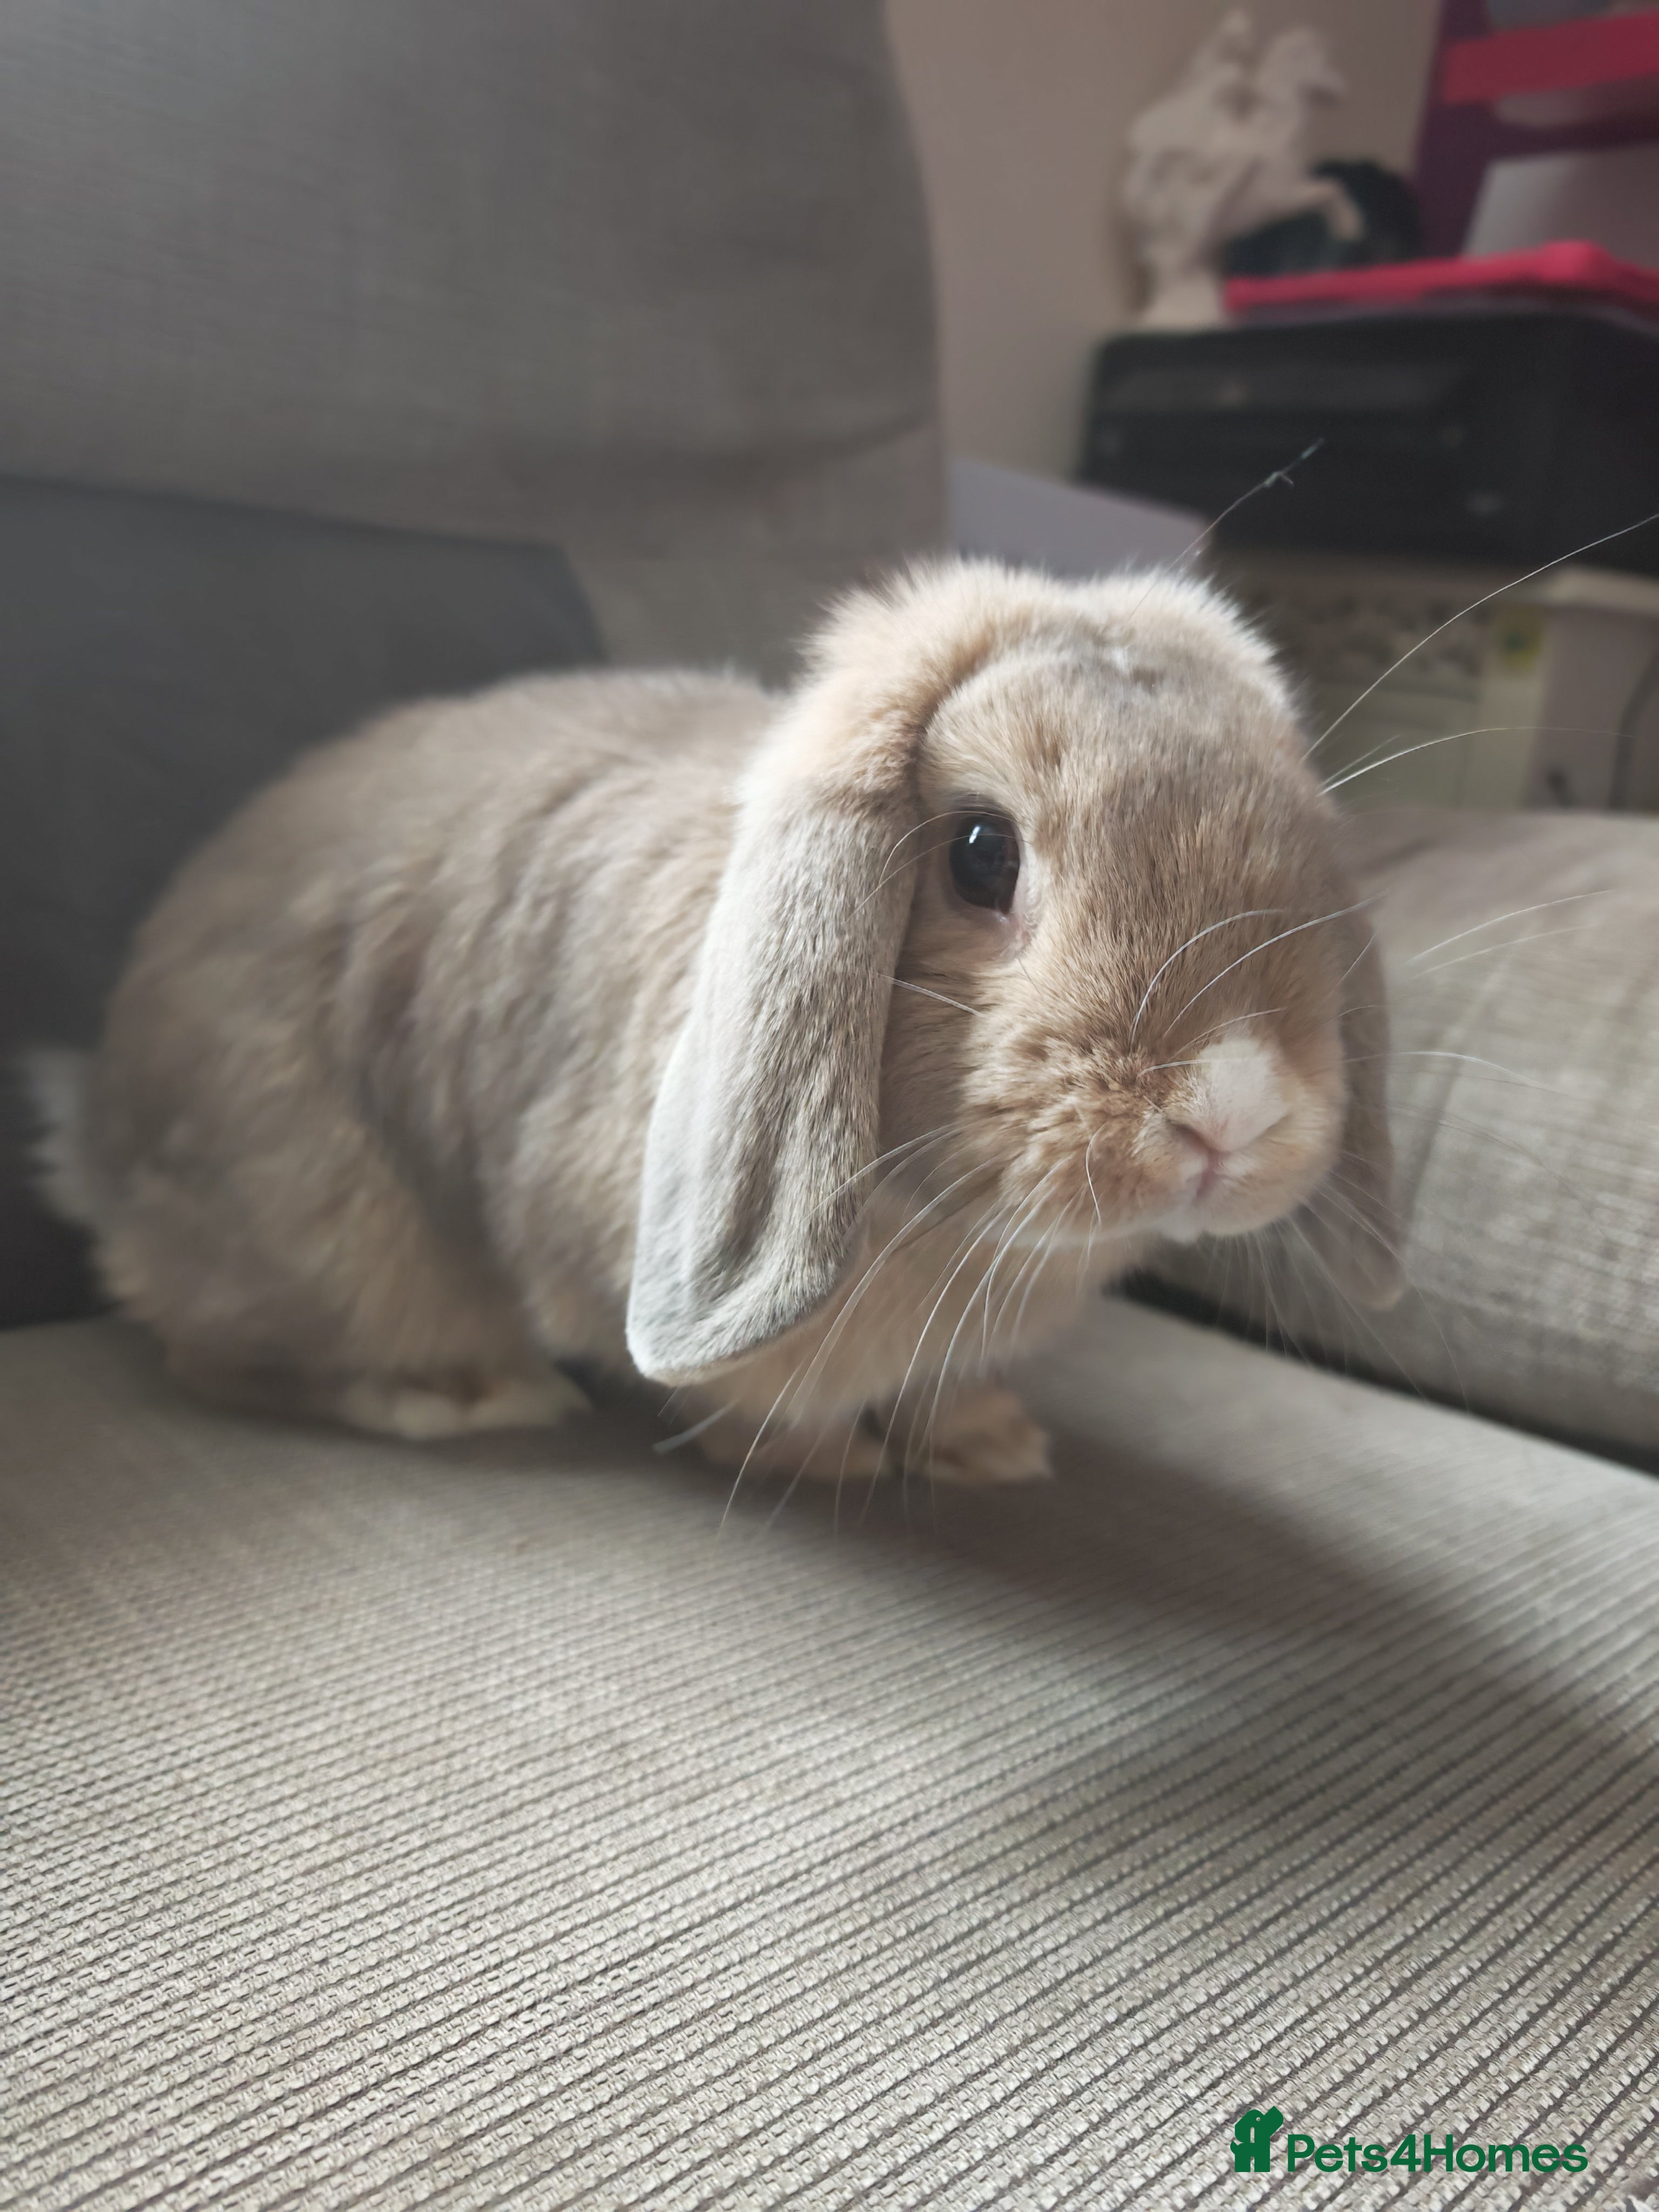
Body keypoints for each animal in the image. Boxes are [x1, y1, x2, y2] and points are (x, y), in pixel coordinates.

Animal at [38, 559, 1400, 1488]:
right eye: (979, 854)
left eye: (1303, 844)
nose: (1232, 1105)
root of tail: (95, 1134)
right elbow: (753, 1402)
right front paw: (833, 1463)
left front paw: (988, 1446)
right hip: (334, 1236)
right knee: (217, 1356)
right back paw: (475, 1397)